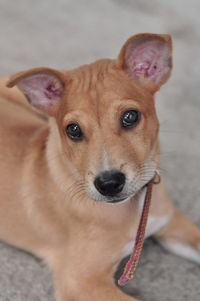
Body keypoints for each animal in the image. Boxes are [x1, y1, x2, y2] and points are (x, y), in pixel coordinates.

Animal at [0, 33, 200, 300]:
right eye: (73, 130)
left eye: (130, 116)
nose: (109, 184)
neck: (133, 208)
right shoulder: (80, 281)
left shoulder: (172, 221)